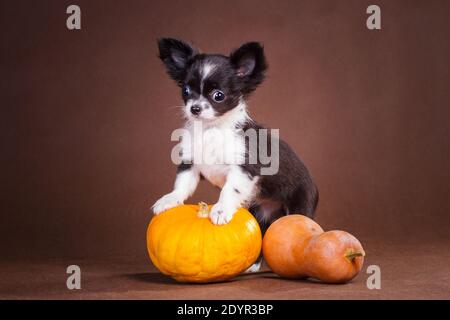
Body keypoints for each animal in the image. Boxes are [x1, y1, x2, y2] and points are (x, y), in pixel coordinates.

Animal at [153, 38, 318, 260]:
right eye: (186, 91)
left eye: (218, 95)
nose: (195, 108)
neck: (211, 130)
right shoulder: (190, 164)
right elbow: (182, 184)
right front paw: (169, 199)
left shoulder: (244, 168)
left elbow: (230, 189)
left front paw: (221, 209)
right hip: (260, 213)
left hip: (299, 205)